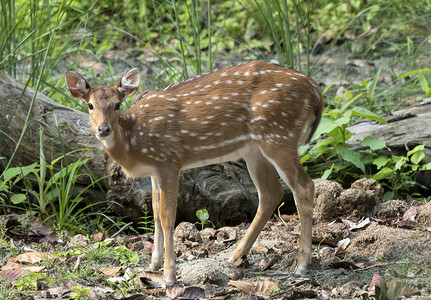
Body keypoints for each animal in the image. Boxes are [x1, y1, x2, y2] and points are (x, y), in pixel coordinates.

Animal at [66, 60, 324, 286]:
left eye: (117, 105)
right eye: (90, 105)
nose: (103, 129)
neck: (134, 142)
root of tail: (314, 88)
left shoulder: (169, 161)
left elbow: (167, 216)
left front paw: (168, 276)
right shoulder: (155, 171)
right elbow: (154, 212)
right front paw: (153, 265)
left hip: (278, 134)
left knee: (304, 186)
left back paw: (301, 266)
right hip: (255, 148)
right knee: (272, 193)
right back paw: (234, 256)